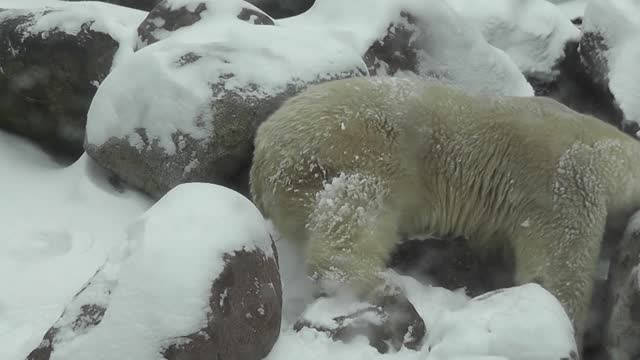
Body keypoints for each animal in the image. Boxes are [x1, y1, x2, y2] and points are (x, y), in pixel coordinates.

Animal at [249, 75, 640, 344]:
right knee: (356, 209)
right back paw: (386, 291)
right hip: (348, 149)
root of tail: (263, 150)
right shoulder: (562, 178)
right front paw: (565, 321)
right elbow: (559, 268)